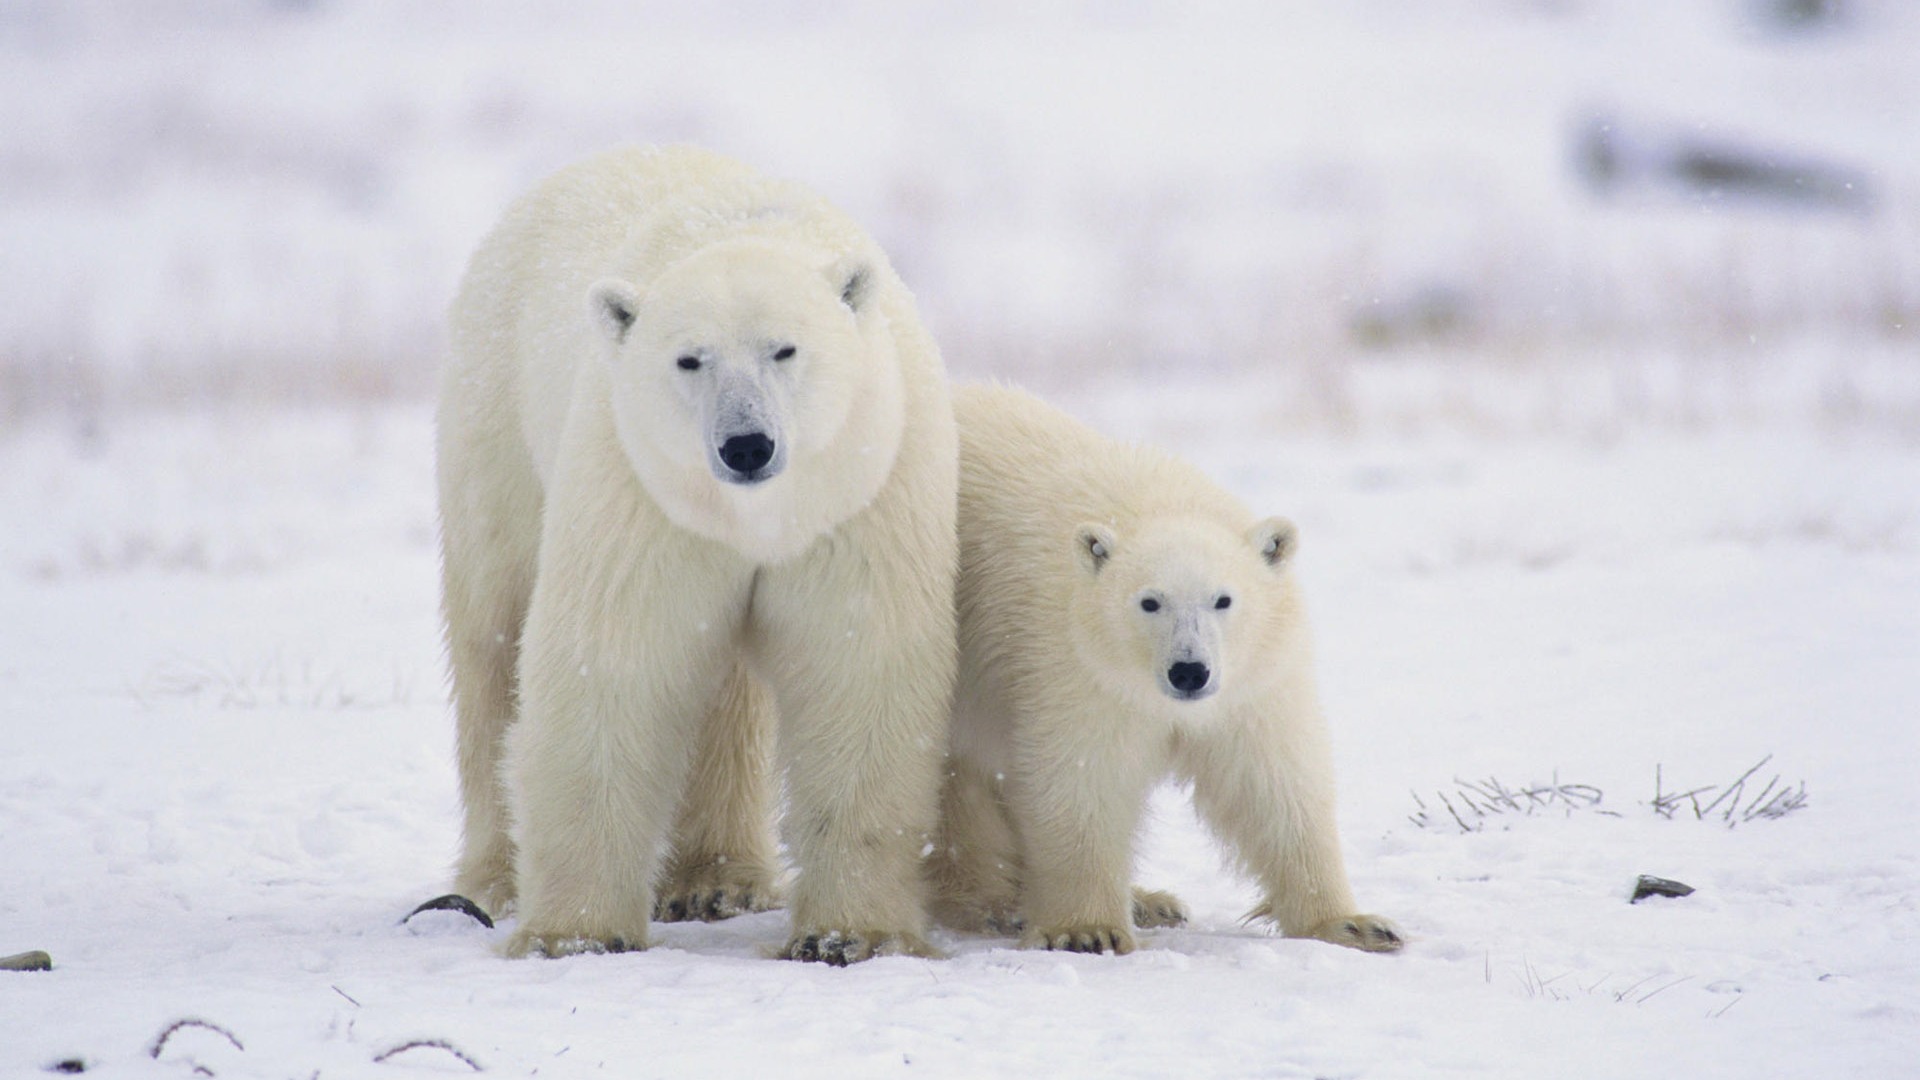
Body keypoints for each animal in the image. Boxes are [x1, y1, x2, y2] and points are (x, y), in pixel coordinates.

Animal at [445, 143, 960, 957]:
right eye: (690, 359)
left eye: (785, 349)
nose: (746, 445)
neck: (754, 516)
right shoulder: (641, 488)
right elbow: (613, 660)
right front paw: (577, 934)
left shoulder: (862, 487)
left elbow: (858, 666)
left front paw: (847, 934)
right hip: (496, 419)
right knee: (492, 638)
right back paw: (493, 880)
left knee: (727, 696)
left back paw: (720, 881)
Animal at [921, 384, 1405, 949]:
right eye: (1149, 602)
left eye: (1223, 599)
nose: (1189, 671)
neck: (1153, 504)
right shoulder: (1075, 665)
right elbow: (1083, 777)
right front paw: (1088, 929)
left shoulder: (1253, 681)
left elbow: (1273, 781)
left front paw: (1355, 923)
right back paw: (993, 902)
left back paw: (1150, 901)